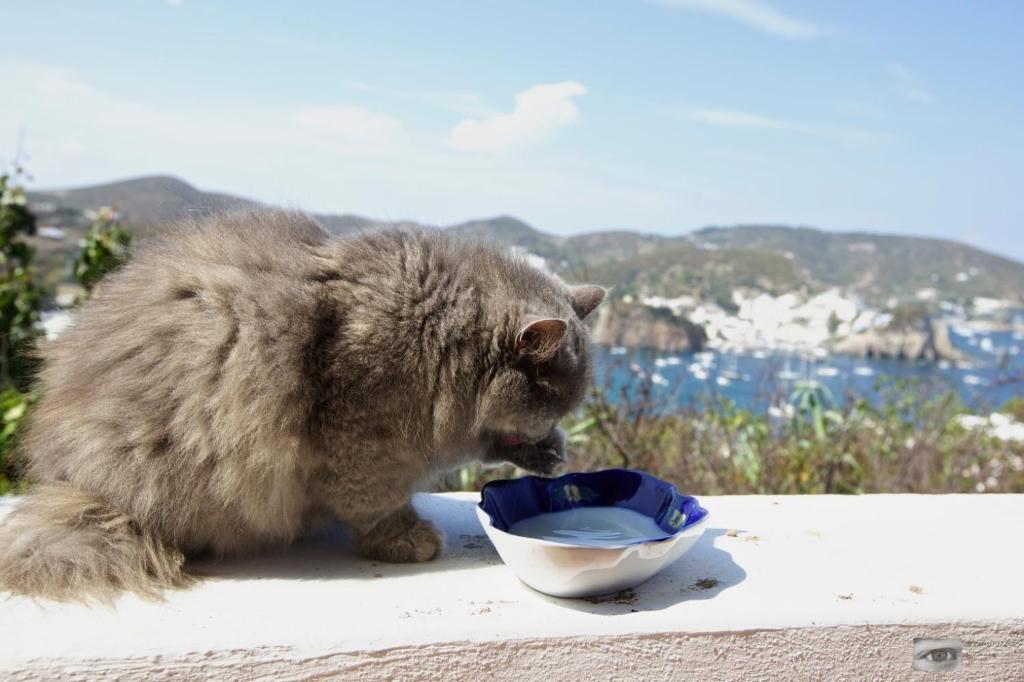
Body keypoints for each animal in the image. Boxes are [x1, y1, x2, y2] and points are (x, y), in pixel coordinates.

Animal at [0, 209, 606, 598]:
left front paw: (552, 456)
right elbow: (377, 502)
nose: (553, 429)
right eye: (554, 402)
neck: (439, 336)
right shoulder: (361, 440)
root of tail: (75, 488)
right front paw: (405, 539)